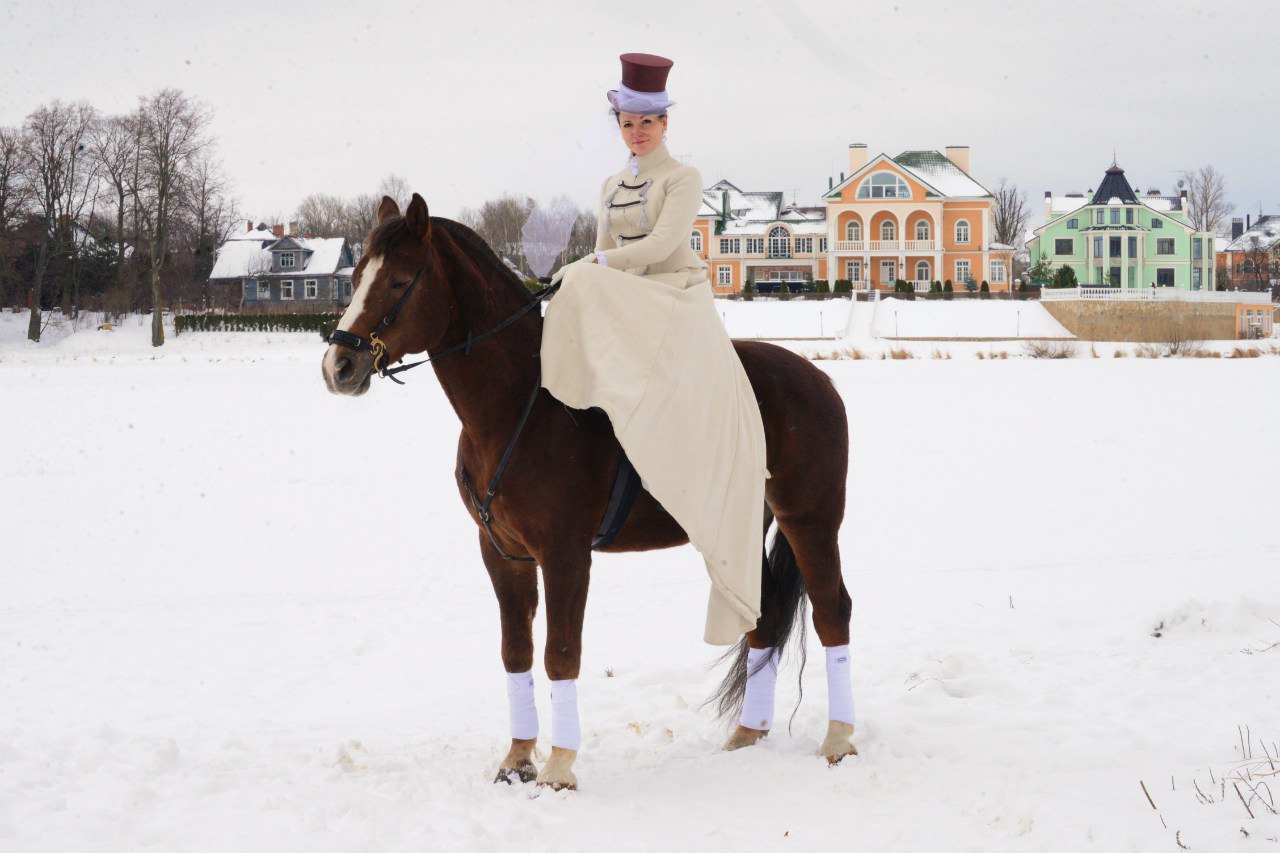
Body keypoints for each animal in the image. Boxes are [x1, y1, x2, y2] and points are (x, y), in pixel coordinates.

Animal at [325, 192, 855, 783]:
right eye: (355, 280)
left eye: (399, 281)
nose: (339, 364)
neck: (520, 405)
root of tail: (818, 378)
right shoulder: (502, 554)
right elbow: (516, 652)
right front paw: (517, 758)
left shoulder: (565, 554)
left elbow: (560, 653)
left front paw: (559, 767)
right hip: (737, 532)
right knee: (762, 618)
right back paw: (747, 736)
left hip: (809, 518)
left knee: (833, 610)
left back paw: (838, 738)